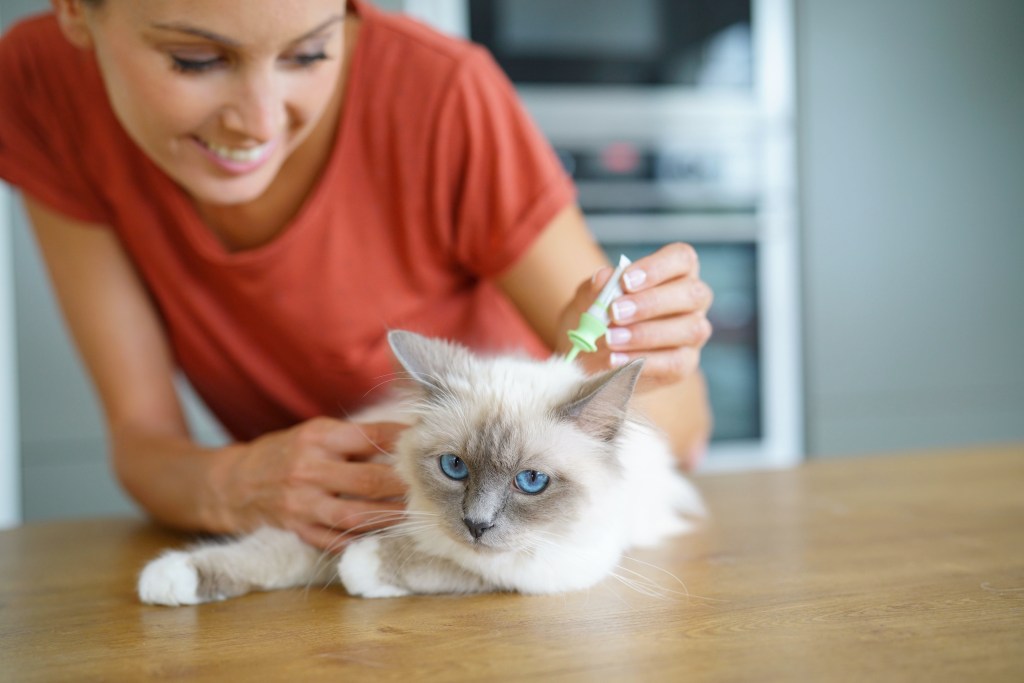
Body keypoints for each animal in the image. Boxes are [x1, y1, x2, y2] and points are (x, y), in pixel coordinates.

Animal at [138, 331, 704, 602]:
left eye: (531, 482)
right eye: (454, 467)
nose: (476, 524)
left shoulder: (550, 565)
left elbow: (448, 564)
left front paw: (362, 568)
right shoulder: (339, 517)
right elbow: (260, 553)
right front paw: (168, 578)